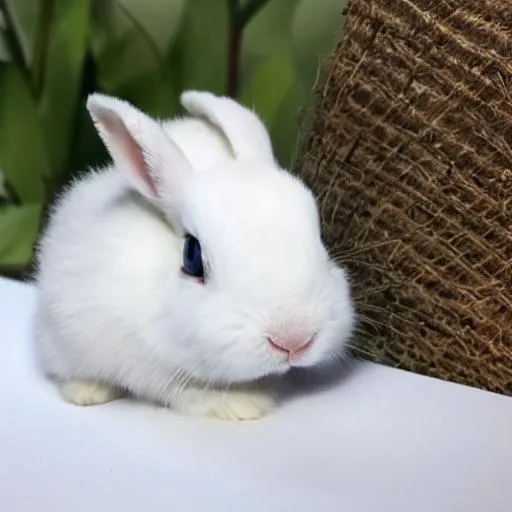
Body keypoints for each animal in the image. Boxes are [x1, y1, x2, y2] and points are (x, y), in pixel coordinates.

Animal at [33, 91, 356, 420]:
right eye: (192, 256)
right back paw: (87, 392)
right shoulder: (148, 363)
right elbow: (187, 391)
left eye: (320, 239)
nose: (294, 341)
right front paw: (243, 404)